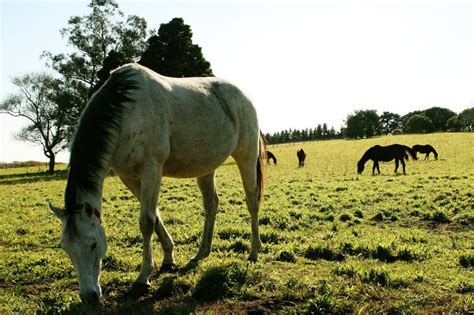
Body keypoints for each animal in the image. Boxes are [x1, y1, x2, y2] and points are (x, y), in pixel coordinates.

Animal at [48, 63, 266, 304]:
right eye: (65, 248)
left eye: (93, 244)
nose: (89, 297)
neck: (127, 110)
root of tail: (244, 97)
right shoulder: (129, 177)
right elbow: (156, 216)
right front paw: (168, 260)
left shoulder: (152, 168)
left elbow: (146, 222)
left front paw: (142, 279)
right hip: (206, 168)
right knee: (211, 205)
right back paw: (202, 253)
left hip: (246, 156)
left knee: (252, 200)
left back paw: (254, 251)